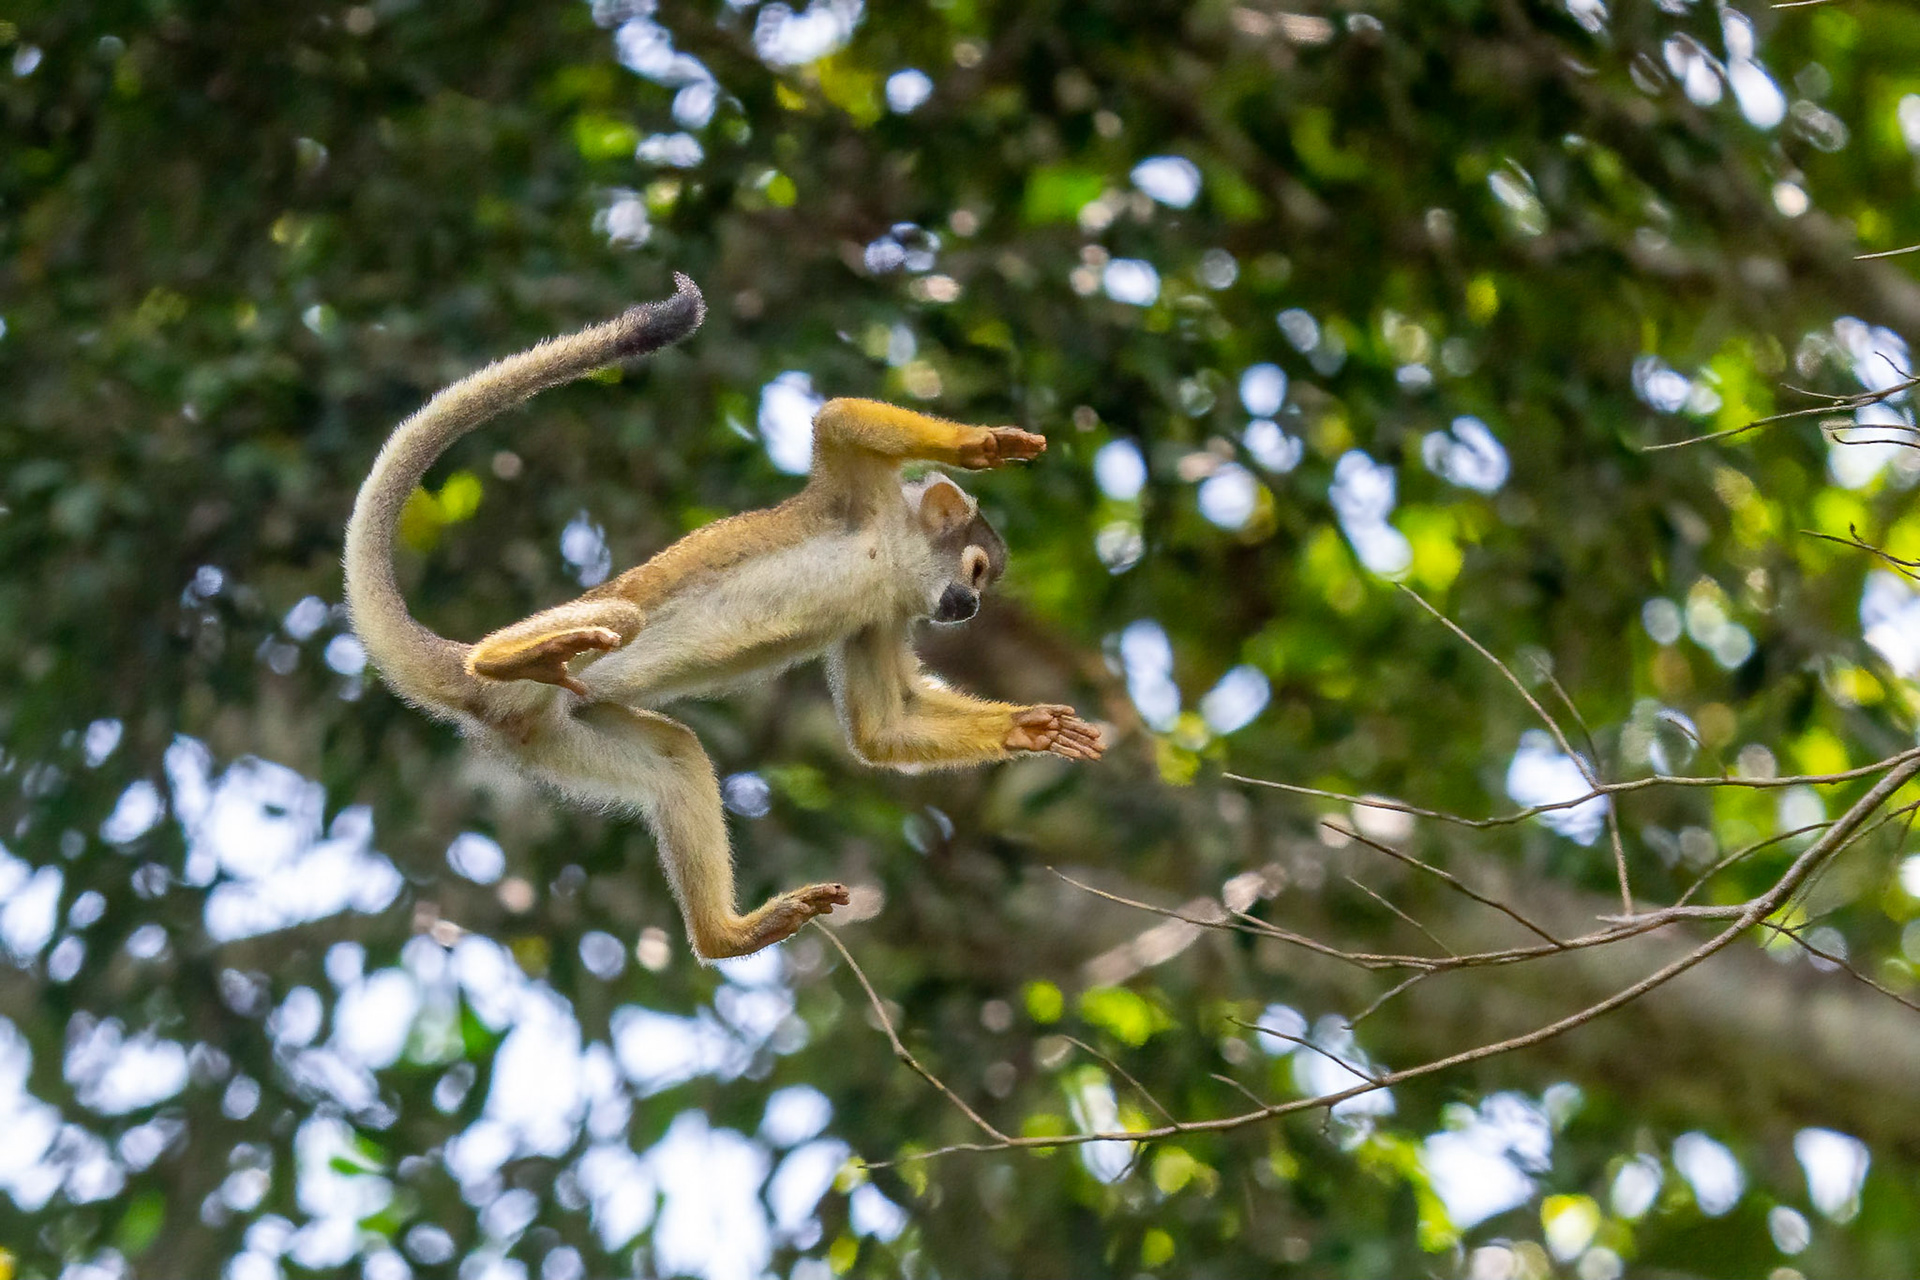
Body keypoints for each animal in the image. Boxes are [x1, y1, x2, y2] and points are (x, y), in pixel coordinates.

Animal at [344, 275, 1105, 960]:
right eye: (975, 573)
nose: (970, 606)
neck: (891, 555)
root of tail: (471, 683)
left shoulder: (884, 614)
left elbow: (883, 731)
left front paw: (1029, 728)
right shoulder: (862, 501)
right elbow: (836, 420)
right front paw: (980, 444)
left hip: (545, 733)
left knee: (676, 758)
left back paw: (727, 937)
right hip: (532, 686)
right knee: (620, 616)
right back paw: (507, 655)